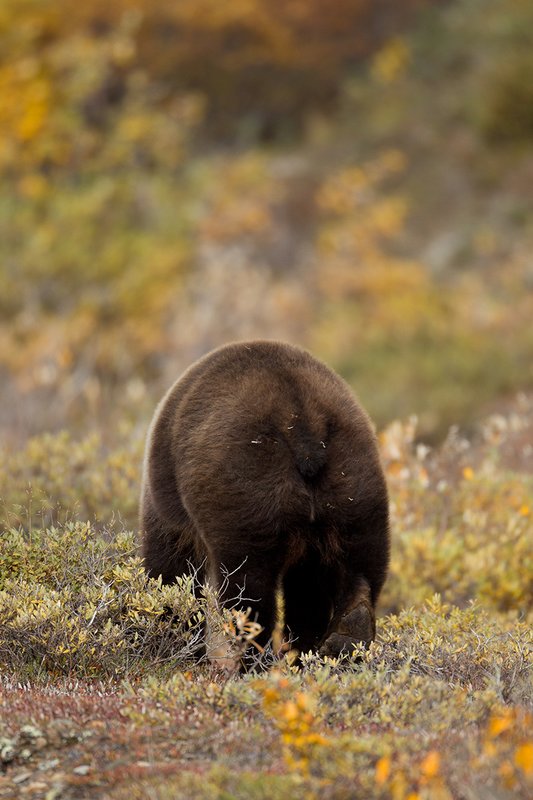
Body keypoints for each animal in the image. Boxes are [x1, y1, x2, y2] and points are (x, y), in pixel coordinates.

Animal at [140, 340, 389, 666]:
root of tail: (304, 424)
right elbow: (308, 591)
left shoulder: (170, 507)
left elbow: (170, 568)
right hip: (355, 481)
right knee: (360, 562)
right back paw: (347, 632)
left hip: (248, 486)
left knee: (250, 587)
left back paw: (253, 659)